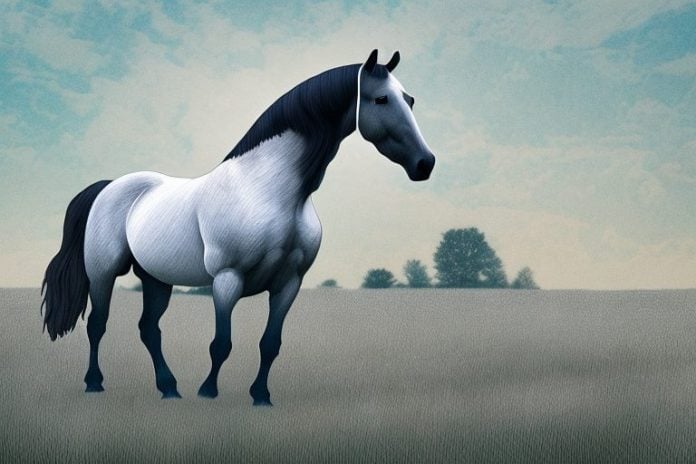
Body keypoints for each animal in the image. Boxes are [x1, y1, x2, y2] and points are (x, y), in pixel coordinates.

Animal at [41, 49, 436, 405]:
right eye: (381, 98)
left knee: (149, 330)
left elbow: (270, 344)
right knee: (98, 324)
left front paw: (260, 395)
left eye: (410, 100)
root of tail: (109, 187)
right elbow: (222, 343)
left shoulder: (289, 284)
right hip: (103, 272)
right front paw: (208, 391)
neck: (266, 189)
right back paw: (95, 383)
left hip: (156, 278)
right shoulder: (227, 279)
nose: (425, 163)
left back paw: (169, 388)